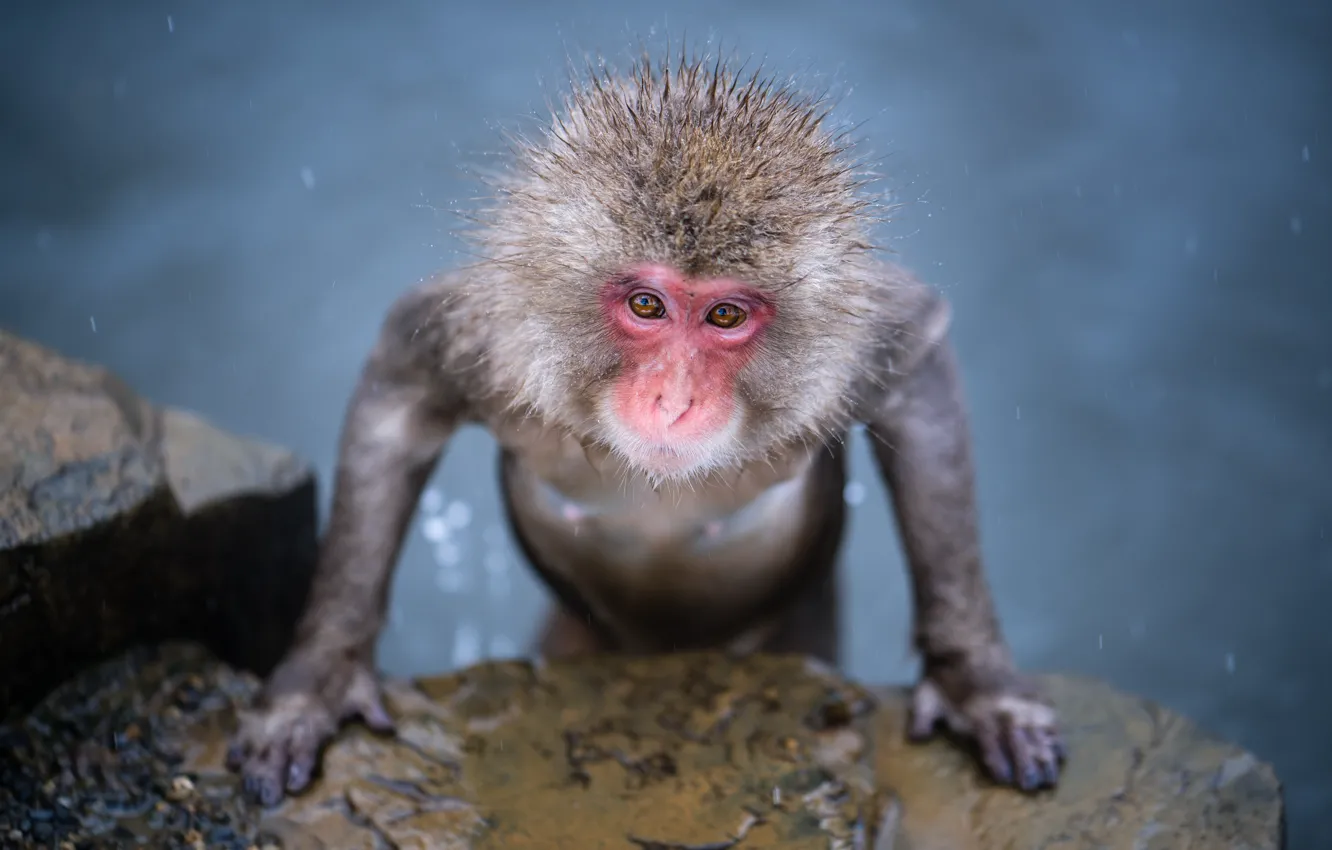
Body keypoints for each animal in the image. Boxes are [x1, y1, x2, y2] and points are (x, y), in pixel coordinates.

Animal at [226, 49, 1065, 806]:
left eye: (724, 315)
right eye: (646, 306)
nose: (673, 400)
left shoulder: (858, 346)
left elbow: (923, 382)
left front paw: (975, 681)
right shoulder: (490, 337)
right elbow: (399, 396)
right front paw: (317, 679)